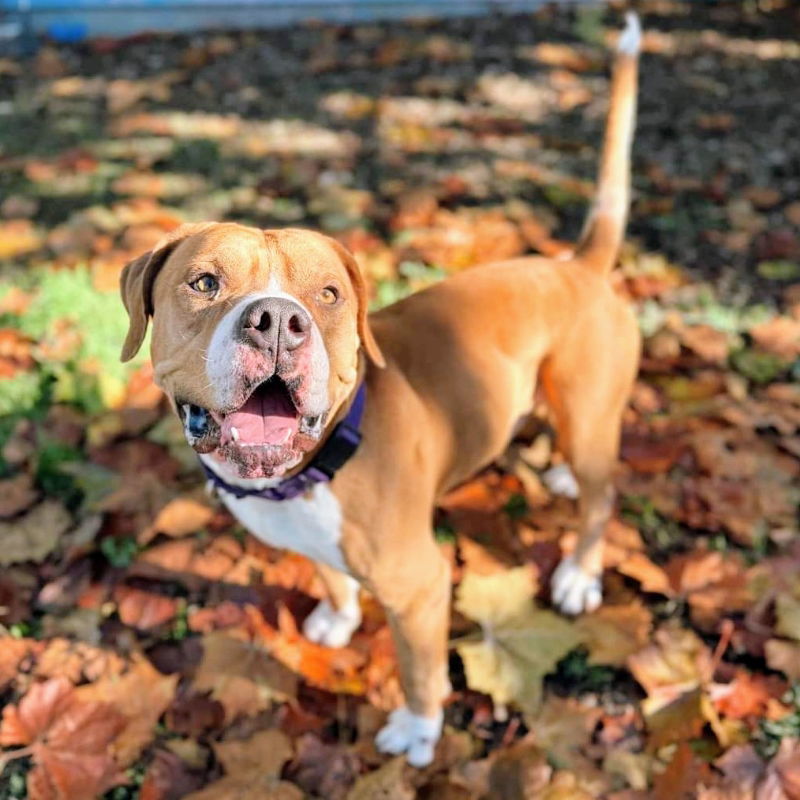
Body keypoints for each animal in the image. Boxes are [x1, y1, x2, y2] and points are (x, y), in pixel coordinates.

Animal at [119, 15, 640, 768]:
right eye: (205, 282)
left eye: (329, 294)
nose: (276, 320)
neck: (311, 471)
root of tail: (581, 267)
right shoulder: (310, 542)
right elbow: (329, 573)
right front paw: (338, 616)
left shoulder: (421, 587)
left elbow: (419, 668)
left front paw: (417, 731)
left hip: (591, 413)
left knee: (603, 496)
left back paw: (578, 573)